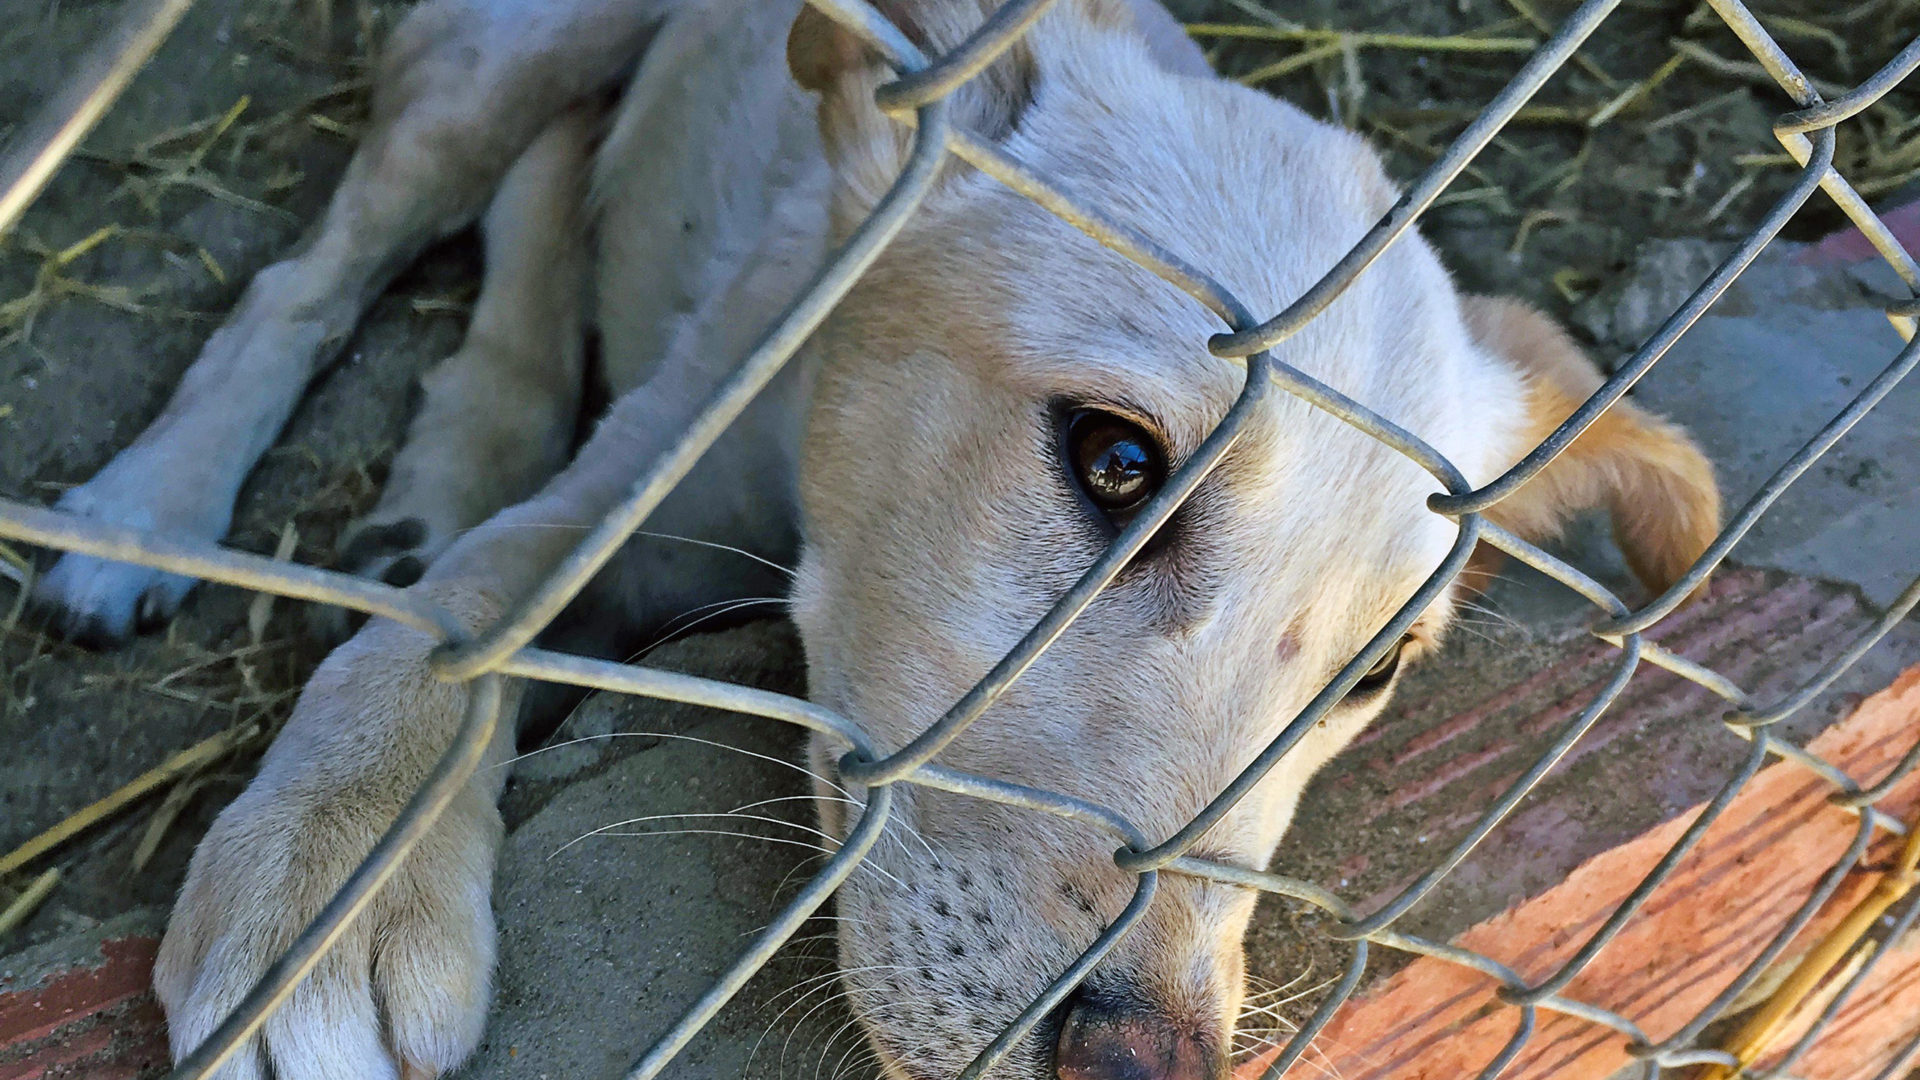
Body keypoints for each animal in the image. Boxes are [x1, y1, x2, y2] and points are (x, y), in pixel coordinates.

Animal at [22, 2, 1720, 1076]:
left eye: (1377, 678)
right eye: (1117, 461)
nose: (1141, 1066)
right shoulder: (636, 481)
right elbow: (464, 616)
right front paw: (334, 879)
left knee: (554, 179)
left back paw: (463, 435)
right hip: (504, 51)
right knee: (332, 260)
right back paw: (149, 510)